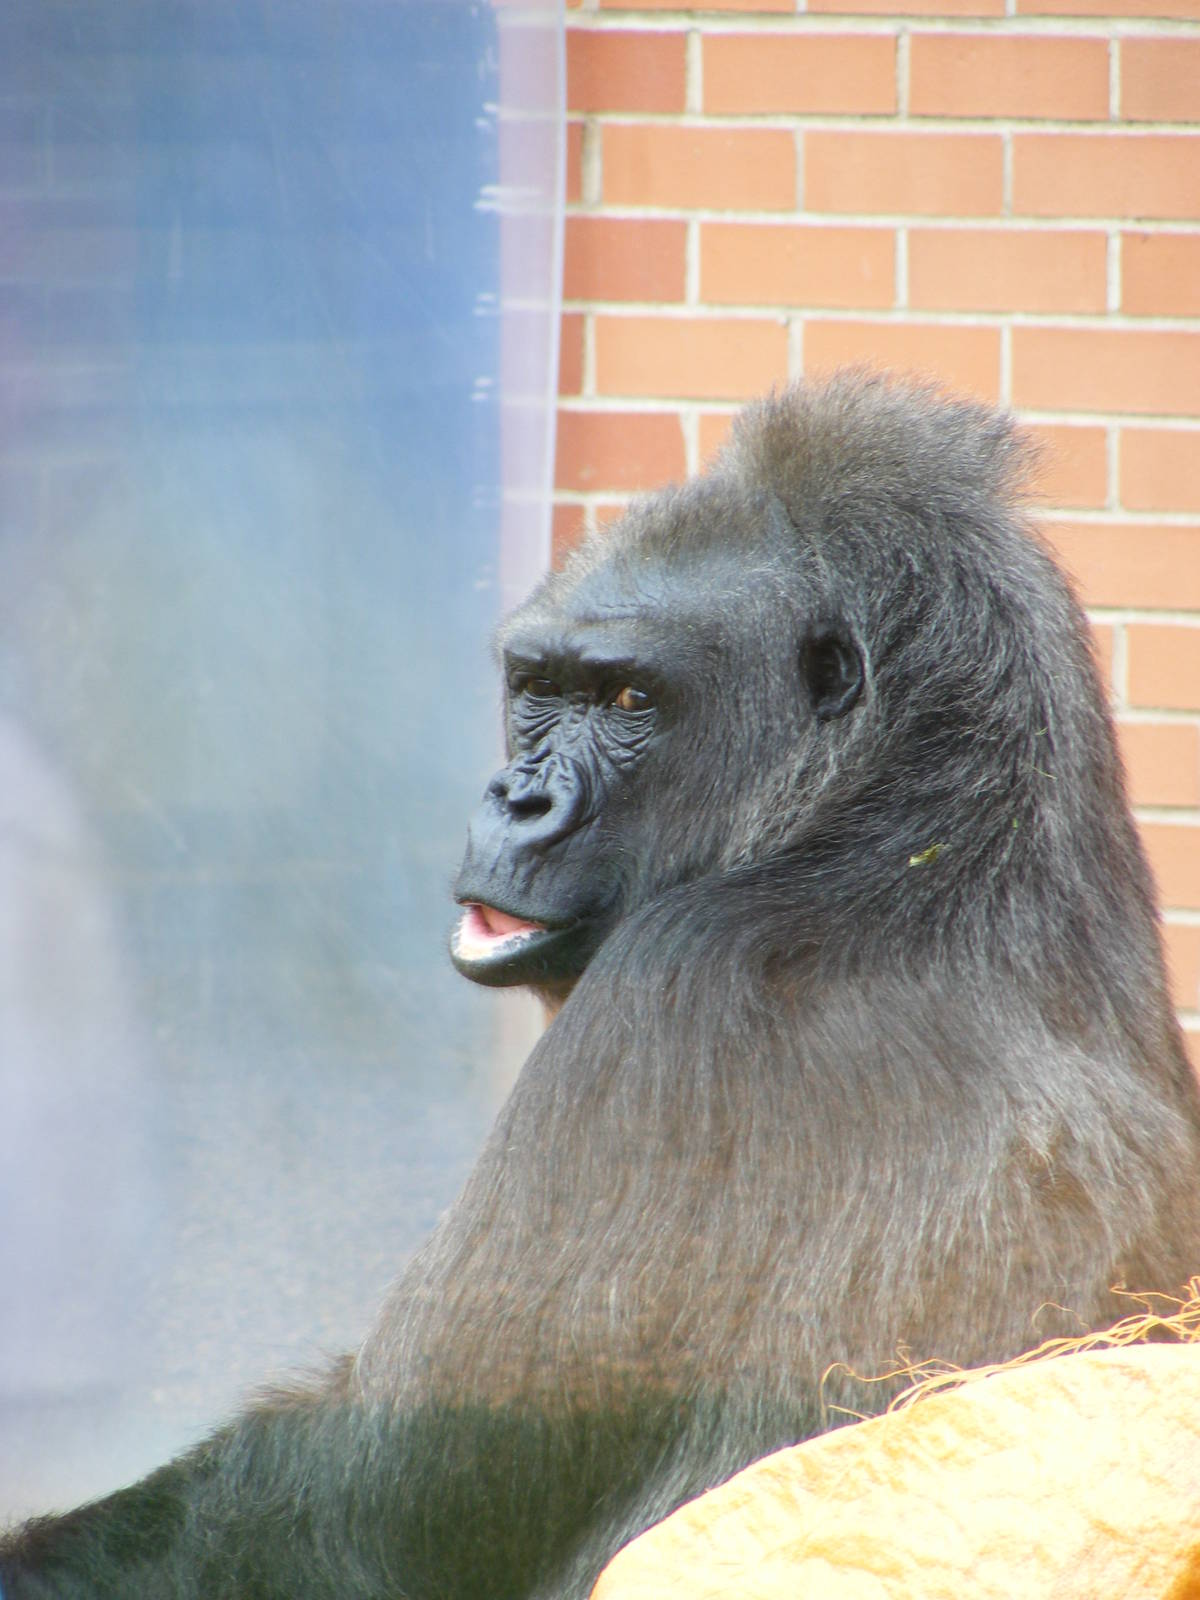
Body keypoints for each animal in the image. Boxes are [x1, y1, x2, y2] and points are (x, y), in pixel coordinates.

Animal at [4, 371, 1199, 1600]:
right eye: (537, 687)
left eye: (629, 700)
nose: (515, 798)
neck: (910, 822)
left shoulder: (667, 998)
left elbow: (379, 1499)